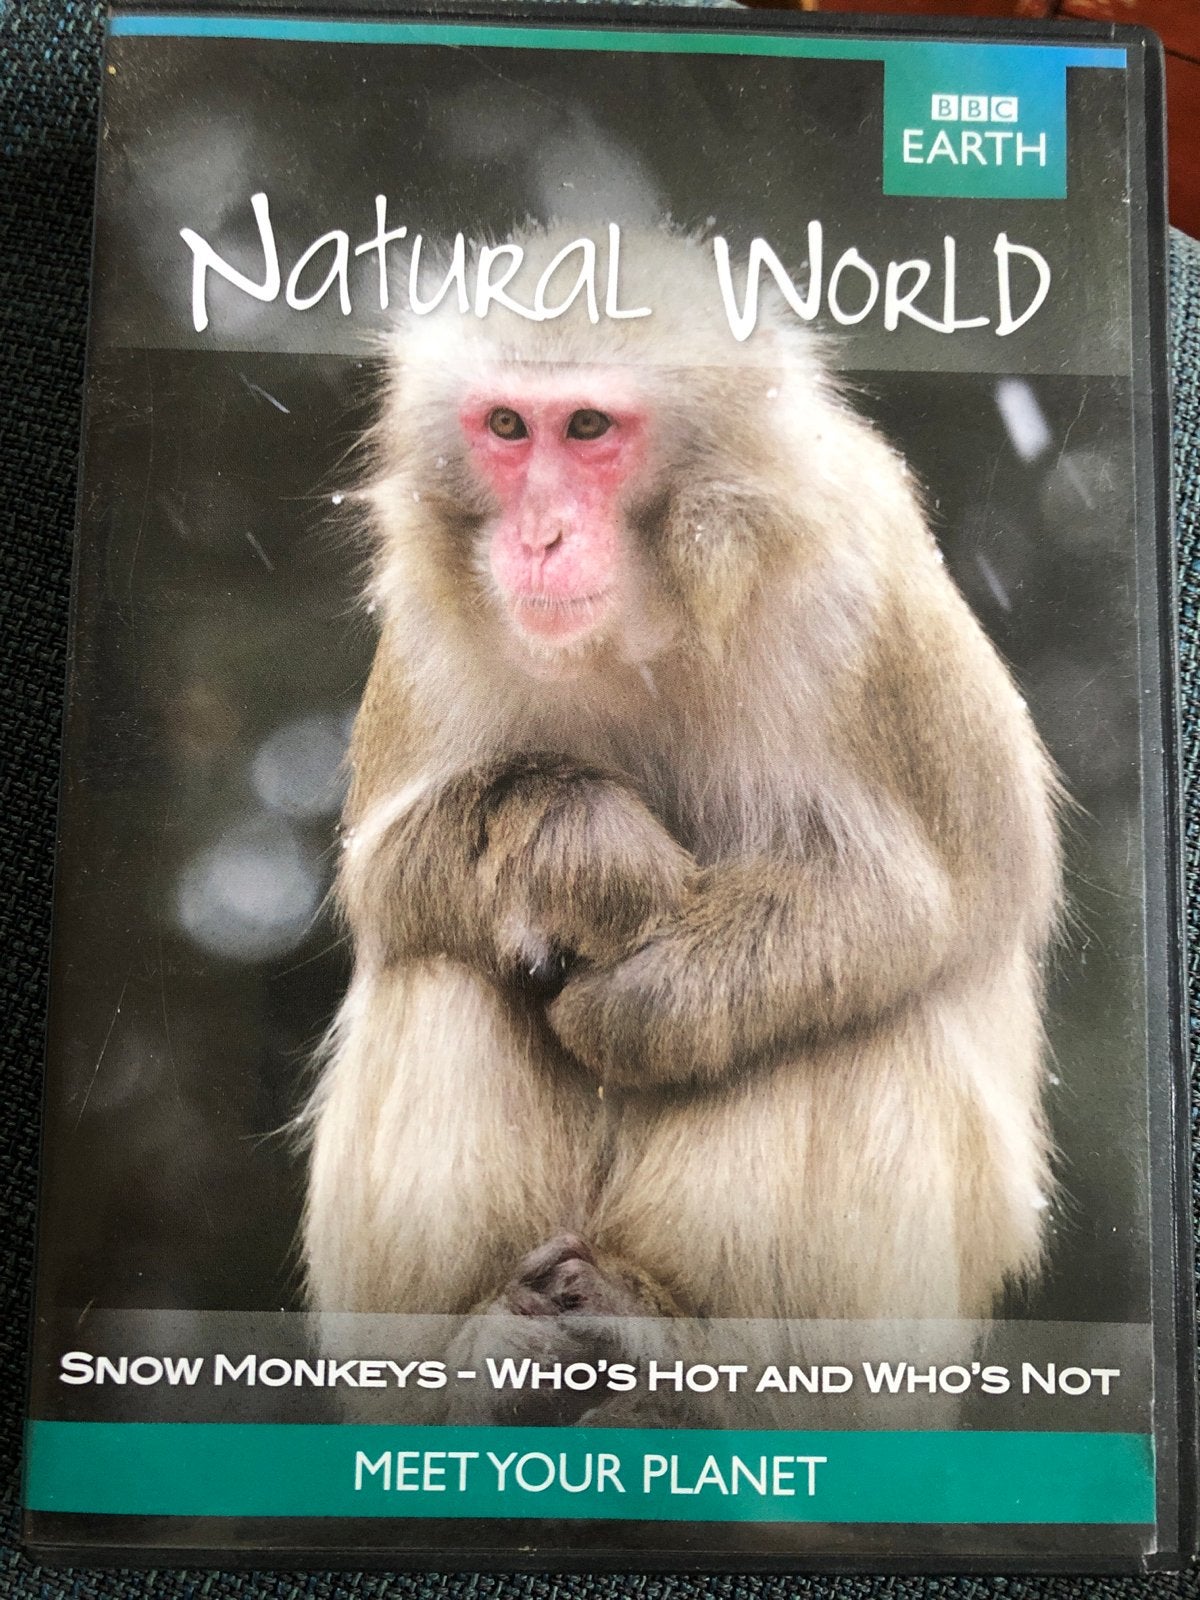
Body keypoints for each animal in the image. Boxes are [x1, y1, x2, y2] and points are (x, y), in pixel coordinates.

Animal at [301, 226, 1062, 1404]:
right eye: (508, 427)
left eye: (590, 428)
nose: (541, 536)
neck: (648, 620)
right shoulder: (429, 623)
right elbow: (386, 877)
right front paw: (570, 847)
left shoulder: (857, 598)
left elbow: (929, 899)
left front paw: (636, 1000)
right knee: (445, 966)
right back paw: (480, 1360)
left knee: (843, 1023)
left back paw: (693, 1359)